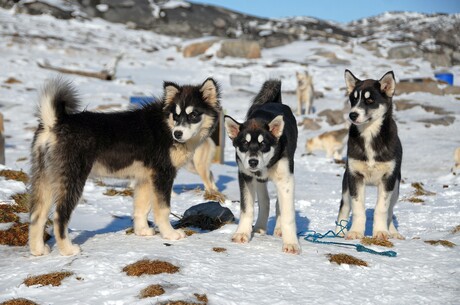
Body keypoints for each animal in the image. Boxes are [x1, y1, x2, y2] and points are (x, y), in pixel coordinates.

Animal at [28, 76, 221, 254]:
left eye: (193, 115)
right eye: (176, 114)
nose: (178, 133)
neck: (165, 124)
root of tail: (55, 122)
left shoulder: (145, 178)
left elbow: (141, 208)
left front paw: (142, 231)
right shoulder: (163, 174)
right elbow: (163, 209)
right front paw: (170, 234)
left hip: (45, 178)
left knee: (37, 215)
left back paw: (38, 250)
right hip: (72, 179)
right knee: (60, 216)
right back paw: (68, 249)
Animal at [334, 69, 402, 240]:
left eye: (370, 100)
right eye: (353, 99)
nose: (352, 115)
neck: (369, 134)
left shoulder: (388, 178)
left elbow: (382, 209)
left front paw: (381, 232)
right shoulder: (355, 177)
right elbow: (358, 208)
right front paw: (355, 232)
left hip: (396, 188)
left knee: (390, 211)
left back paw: (393, 231)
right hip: (346, 184)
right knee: (344, 206)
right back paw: (338, 232)